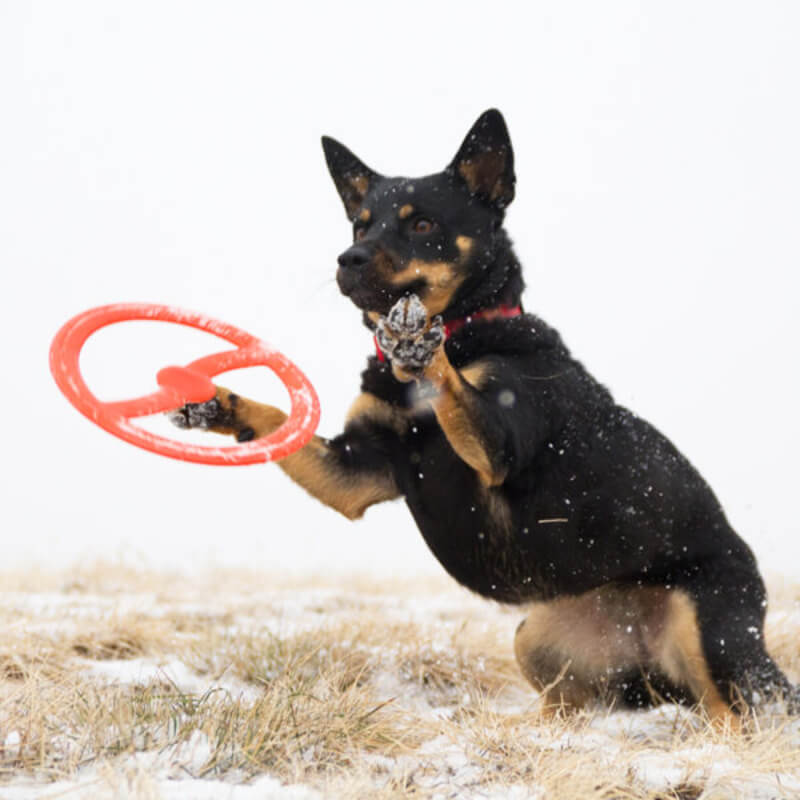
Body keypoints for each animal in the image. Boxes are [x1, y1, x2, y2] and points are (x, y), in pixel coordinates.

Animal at [170, 108, 792, 724]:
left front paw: (417, 341)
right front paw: (215, 403)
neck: (470, 329)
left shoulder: (498, 445)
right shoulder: (355, 474)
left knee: (736, 713)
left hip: (706, 630)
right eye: (360, 227)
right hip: (539, 638)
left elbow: (451, 384)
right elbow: (276, 416)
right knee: (577, 705)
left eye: (422, 225)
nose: (348, 260)